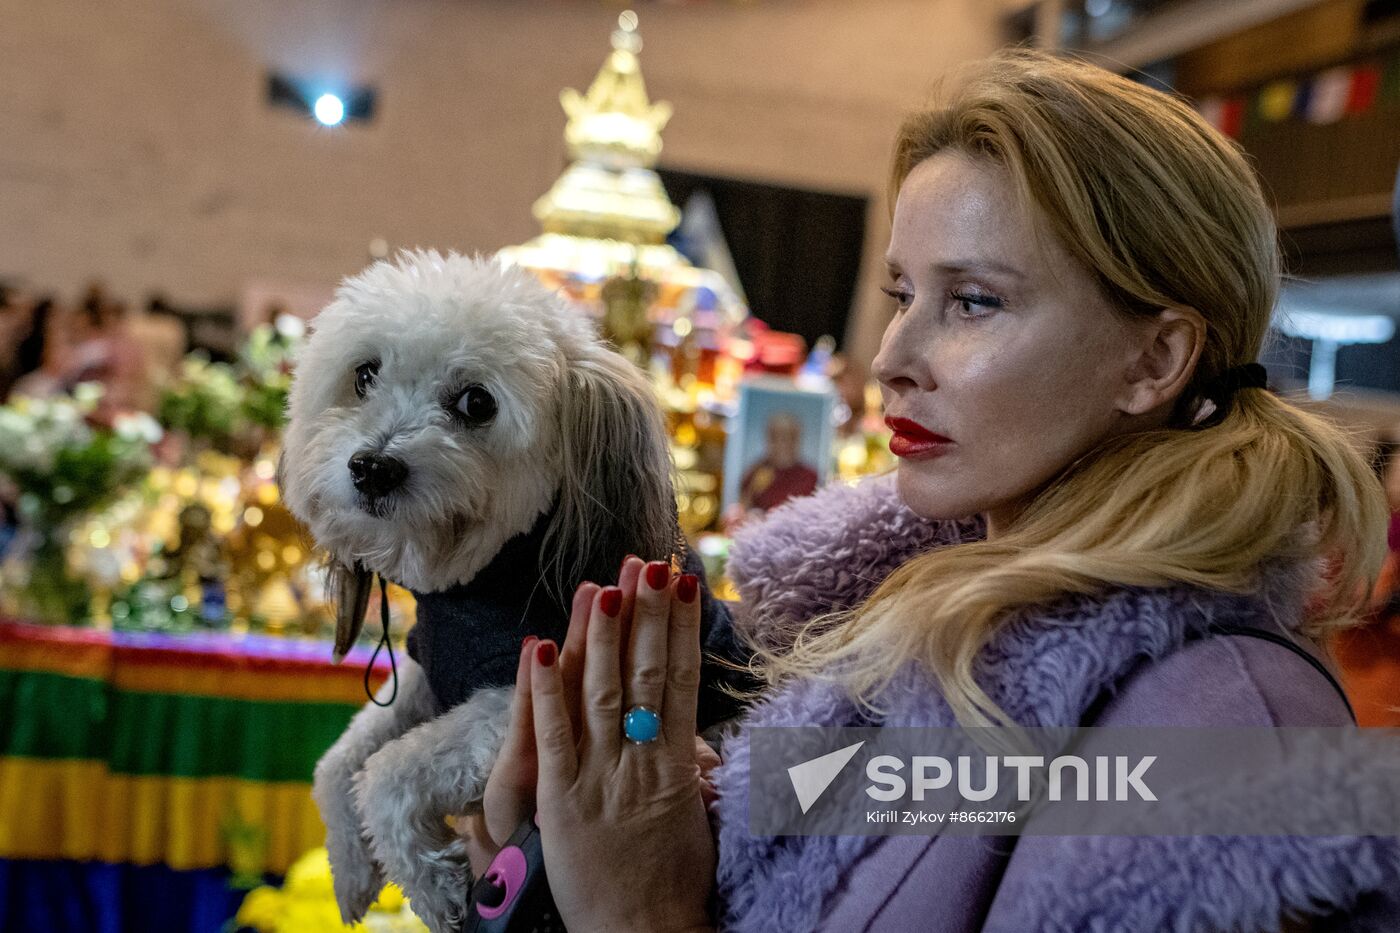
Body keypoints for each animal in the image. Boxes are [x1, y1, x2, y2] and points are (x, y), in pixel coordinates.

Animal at [277, 249, 750, 930]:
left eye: (477, 402)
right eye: (364, 375)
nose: (372, 467)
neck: (486, 575)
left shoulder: (518, 697)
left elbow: (387, 771)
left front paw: (434, 884)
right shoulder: (430, 673)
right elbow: (338, 762)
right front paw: (350, 867)